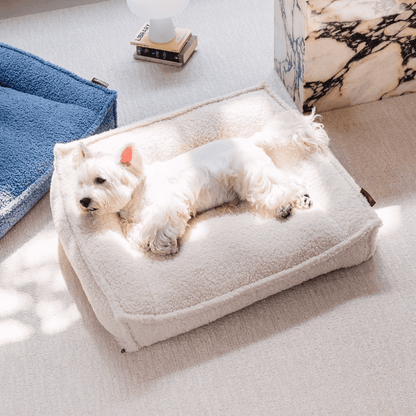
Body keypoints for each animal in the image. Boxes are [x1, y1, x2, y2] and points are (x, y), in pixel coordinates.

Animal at [74, 109, 328, 254]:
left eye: (100, 179)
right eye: (80, 183)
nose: (83, 201)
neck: (136, 195)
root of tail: (250, 140)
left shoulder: (168, 206)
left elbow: (150, 228)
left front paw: (163, 245)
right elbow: (134, 233)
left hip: (252, 177)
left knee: (285, 184)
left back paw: (291, 204)